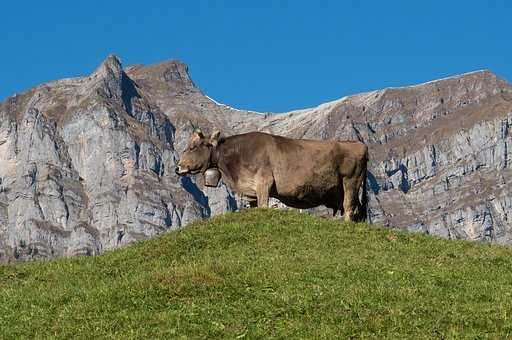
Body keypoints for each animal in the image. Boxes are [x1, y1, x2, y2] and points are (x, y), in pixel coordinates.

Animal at [176, 129, 368, 222]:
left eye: (193, 147)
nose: (178, 168)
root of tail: (359, 145)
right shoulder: (251, 190)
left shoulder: (264, 183)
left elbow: (263, 206)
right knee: (357, 210)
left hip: (351, 181)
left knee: (350, 208)